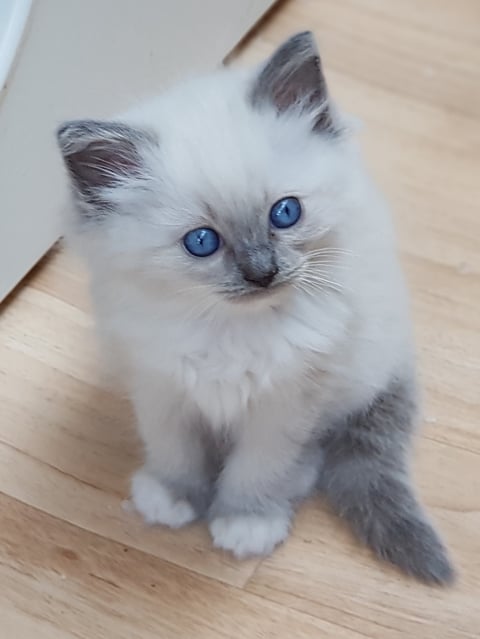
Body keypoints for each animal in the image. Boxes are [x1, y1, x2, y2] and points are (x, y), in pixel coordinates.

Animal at [57, 31, 454, 584]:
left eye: (285, 213)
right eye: (202, 242)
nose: (262, 272)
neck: (230, 330)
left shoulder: (284, 403)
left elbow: (258, 468)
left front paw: (245, 522)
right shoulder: (162, 386)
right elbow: (174, 452)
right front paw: (173, 498)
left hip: (358, 374)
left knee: (313, 454)